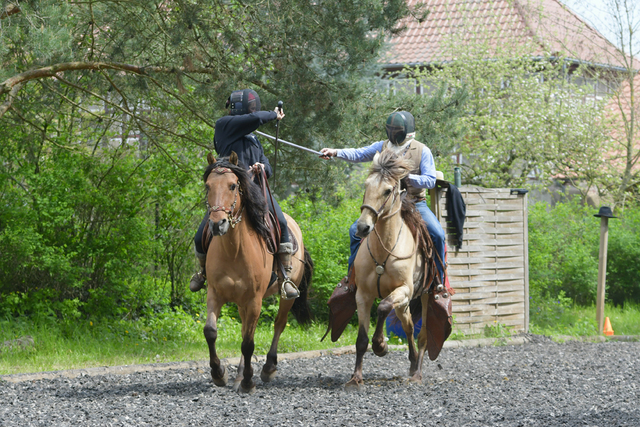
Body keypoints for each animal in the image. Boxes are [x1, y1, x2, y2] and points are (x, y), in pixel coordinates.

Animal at [200, 152, 310, 392]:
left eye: (233, 185)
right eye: (207, 186)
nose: (217, 224)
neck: (234, 250)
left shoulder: (254, 300)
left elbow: (248, 343)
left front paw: (249, 381)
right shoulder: (215, 293)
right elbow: (211, 332)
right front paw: (219, 373)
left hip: (285, 296)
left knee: (279, 324)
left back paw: (268, 368)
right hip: (242, 303)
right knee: (245, 329)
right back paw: (240, 375)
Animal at [344, 150, 450, 392]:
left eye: (387, 190)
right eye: (366, 185)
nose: (363, 227)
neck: (384, 248)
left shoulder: (404, 290)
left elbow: (383, 307)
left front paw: (381, 345)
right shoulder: (363, 295)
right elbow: (361, 340)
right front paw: (355, 378)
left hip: (425, 296)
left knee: (421, 335)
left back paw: (417, 374)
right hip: (403, 304)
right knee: (408, 325)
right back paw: (411, 364)